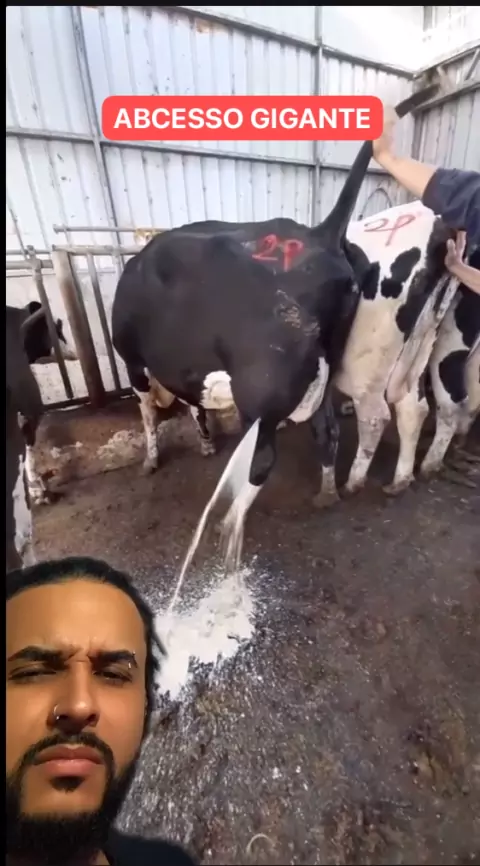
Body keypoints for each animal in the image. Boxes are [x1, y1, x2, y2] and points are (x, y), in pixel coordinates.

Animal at [111, 87, 437, 566]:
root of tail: (319, 234)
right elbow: (195, 404)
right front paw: (204, 441)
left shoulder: (134, 360)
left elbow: (149, 412)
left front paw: (152, 459)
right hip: (328, 369)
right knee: (330, 430)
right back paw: (327, 492)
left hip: (262, 385)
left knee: (264, 458)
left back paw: (229, 522)